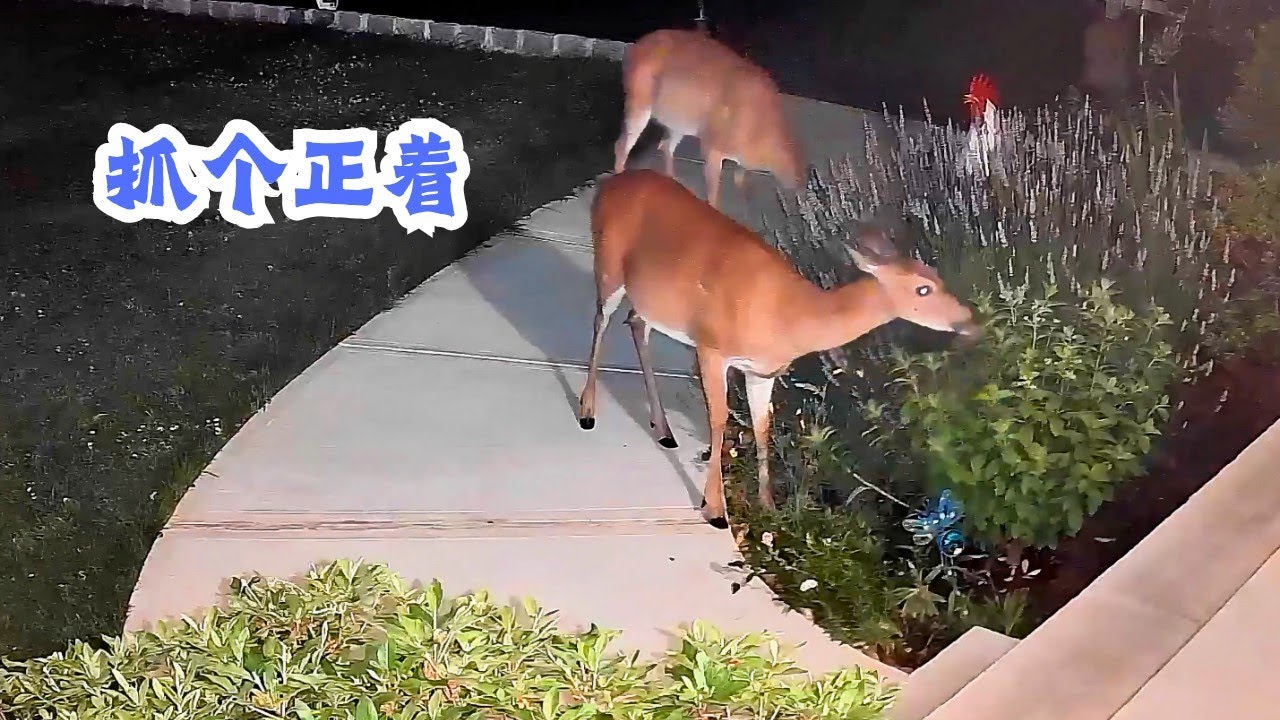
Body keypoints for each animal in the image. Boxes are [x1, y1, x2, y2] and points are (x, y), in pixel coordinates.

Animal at [576, 169, 982, 528]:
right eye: (922, 289)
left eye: (936, 276)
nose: (969, 320)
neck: (789, 316)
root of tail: (611, 182)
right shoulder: (711, 348)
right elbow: (719, 418)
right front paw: (715, 510)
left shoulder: (762, 372)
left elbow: (762, 426)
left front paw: (770, 508)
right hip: (608, 265)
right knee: (600, 321)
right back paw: (587, 411)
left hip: (648, 298)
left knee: (636, 323)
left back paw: (662, 429)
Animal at [612, 28, 805, 211]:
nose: (801, 189)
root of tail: (633, 49)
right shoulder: (712, 147)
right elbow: (713, 194)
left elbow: (739, 178)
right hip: (640, 106)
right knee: (622, 146)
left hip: (680, 121)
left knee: (665, 145)